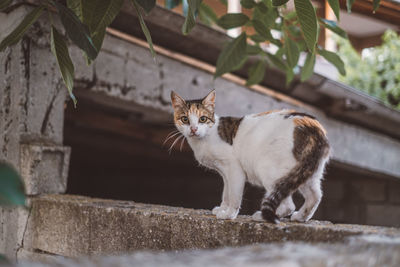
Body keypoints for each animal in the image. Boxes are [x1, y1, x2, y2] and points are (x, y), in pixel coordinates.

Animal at [170, 90, 330, 224]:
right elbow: (226, 193)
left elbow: (234, 195)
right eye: (185, 119)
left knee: (288, 204)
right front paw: (222, 208)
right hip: (307, 172)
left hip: (267, 168)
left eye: (202, 119)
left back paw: (263, 216)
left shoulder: (234, 169)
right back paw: (301, 217)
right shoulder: (225, 173)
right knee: (315, 196)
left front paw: (229, 214)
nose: (193, 129)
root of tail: (312, 125)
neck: (205, 138)